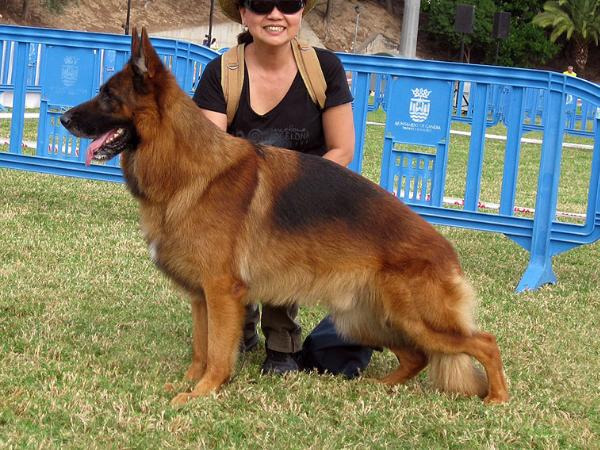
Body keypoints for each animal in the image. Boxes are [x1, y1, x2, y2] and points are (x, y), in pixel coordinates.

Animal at [61, 29, 508, 406]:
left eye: (107, 96)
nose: (63, 118)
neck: (187, 167)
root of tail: (446, 252)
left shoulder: (220, 293)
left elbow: (217, 353)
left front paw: (203, 392)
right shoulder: (201, 297)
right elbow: (201, 348)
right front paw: (189, 382)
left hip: (413, 318)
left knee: (484, 342)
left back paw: (497, 398)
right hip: (366, 320)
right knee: (417, 356)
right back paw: (382, 387)